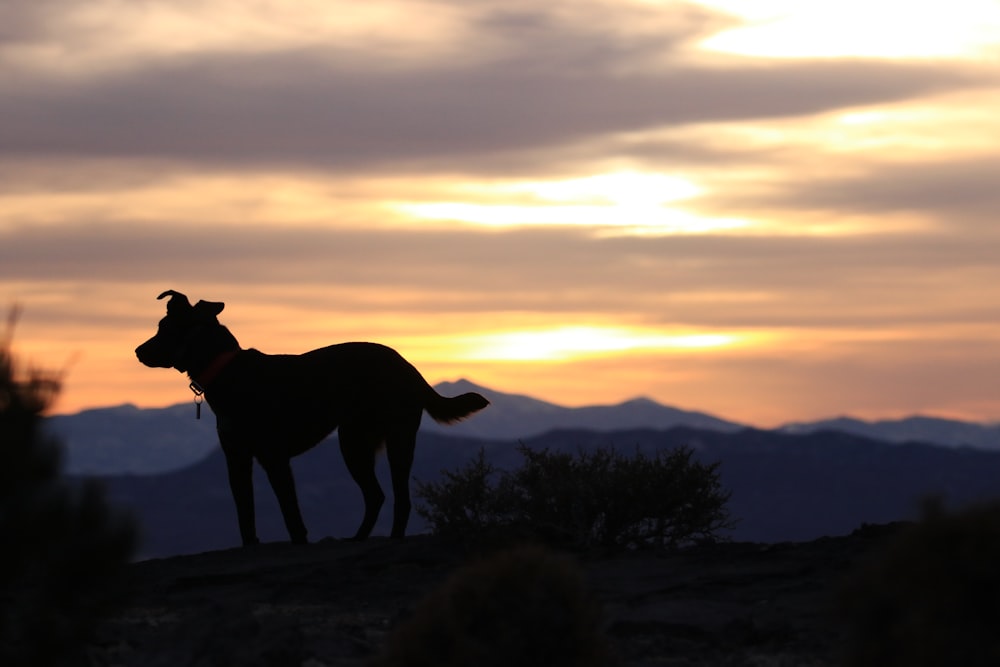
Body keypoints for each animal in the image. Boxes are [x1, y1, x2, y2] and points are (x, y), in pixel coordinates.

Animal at [136, 290, 488, 544]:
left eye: (163, 328)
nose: (138, 351)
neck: (228, 370)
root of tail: (410, 368)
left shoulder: (274, 459)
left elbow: (291, 514)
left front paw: (299, 540)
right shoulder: (236, 459)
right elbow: (245, 512)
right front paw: (251, 545)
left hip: (377, 443)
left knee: (398, 498)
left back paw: (389, 538)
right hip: (359, 442)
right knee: (377, 496)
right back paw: (358, 538)